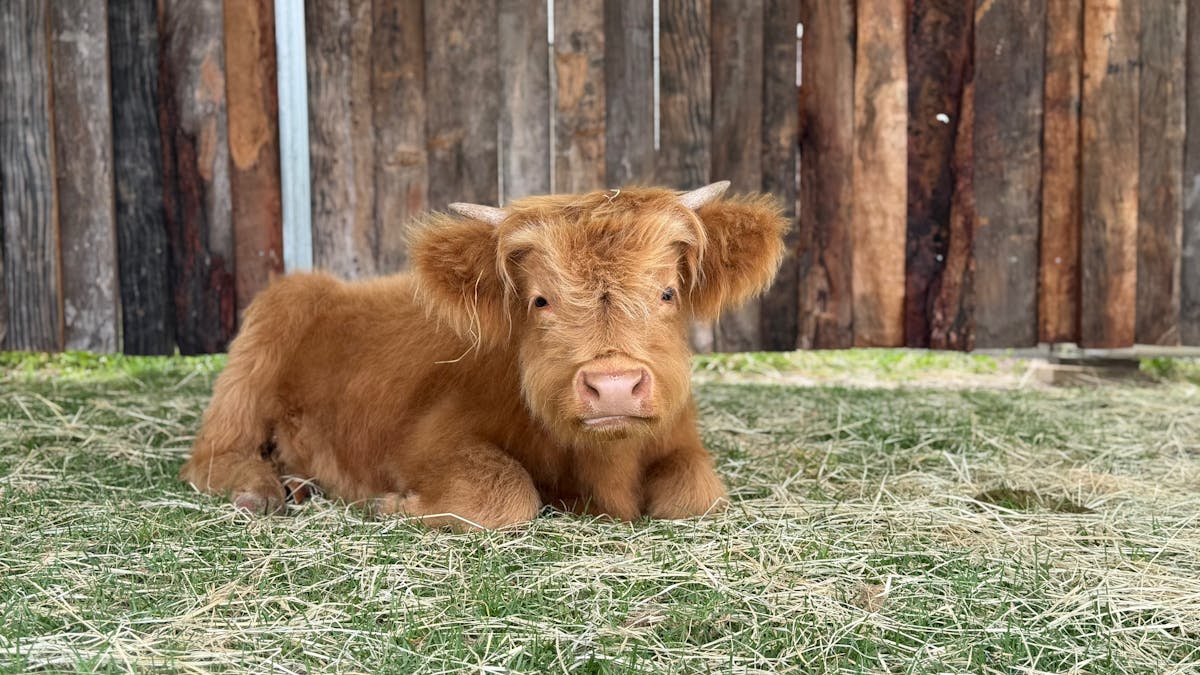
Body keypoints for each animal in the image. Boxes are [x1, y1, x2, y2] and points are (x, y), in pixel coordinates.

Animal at [180, 182, 787, 529]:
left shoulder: (680, 440)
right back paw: (260, 491)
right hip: (254, 360)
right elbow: (509, 493)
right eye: (539, 299)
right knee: (211, 455)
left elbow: (697, 494)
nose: (613, 385)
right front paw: (393, 505)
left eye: (666, 293)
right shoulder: (428, 440)